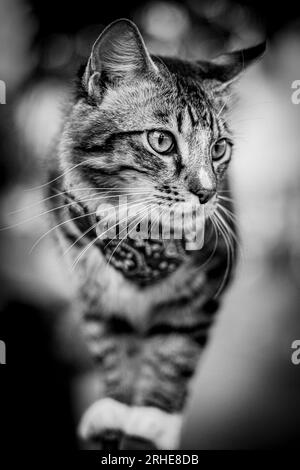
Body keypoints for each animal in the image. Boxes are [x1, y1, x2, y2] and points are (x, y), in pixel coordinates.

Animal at [48, 20, 266, 450]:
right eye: (162, 141)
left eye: (219, 149)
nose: (206, 193)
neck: (138, 242)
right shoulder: (90, 286)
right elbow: (111, 344)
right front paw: (118, 405)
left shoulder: (205, 287)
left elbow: (175, 351)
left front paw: (152, 417)